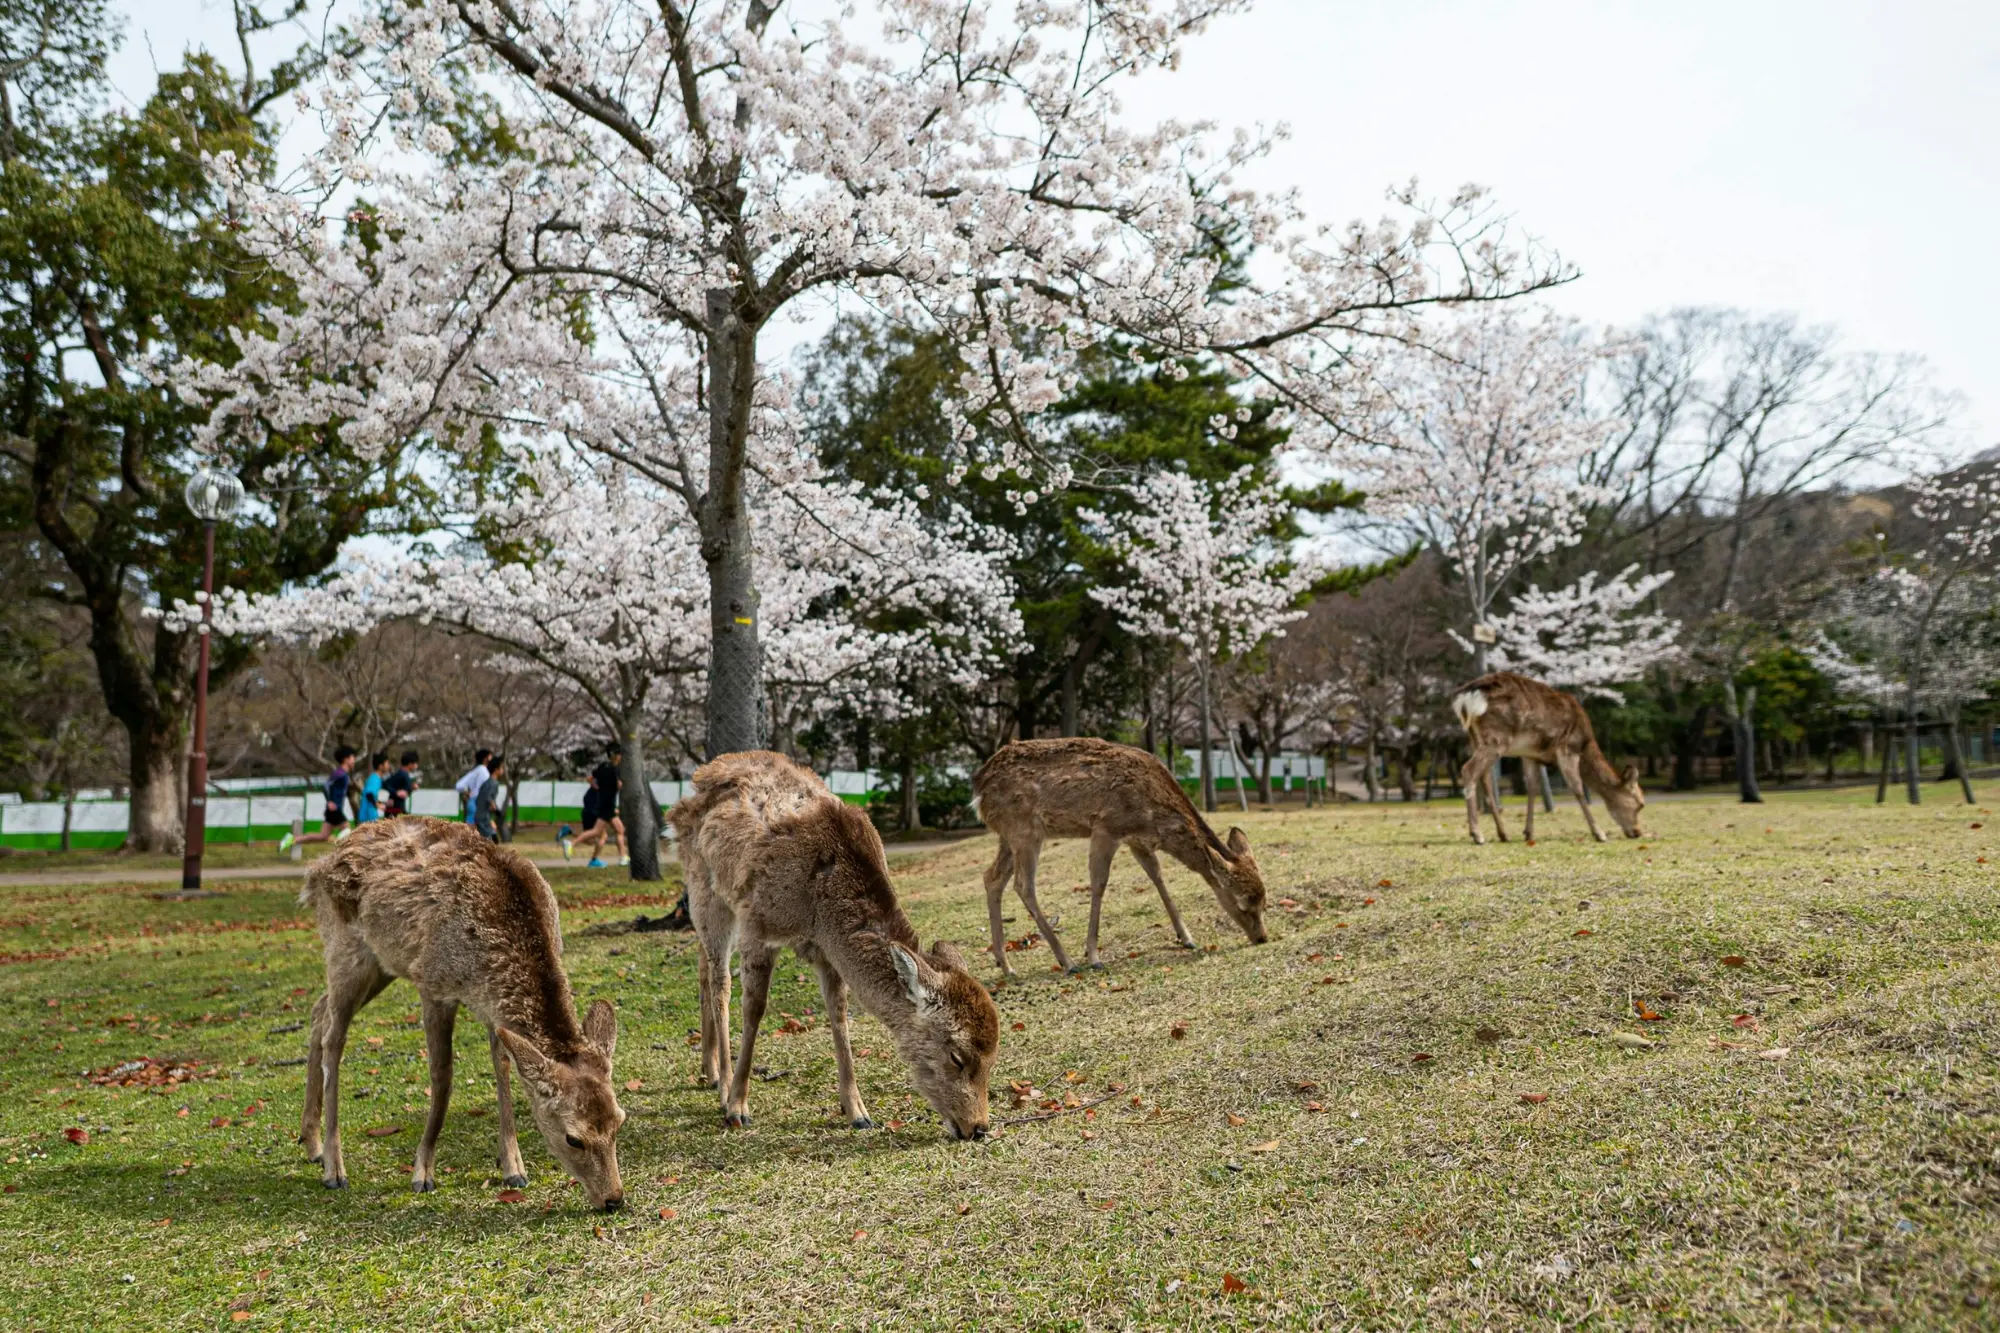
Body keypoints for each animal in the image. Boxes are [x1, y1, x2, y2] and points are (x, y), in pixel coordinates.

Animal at [299, 817, 628, 1210]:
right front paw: (422, 1172)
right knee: (334, 1037)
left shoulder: (492, 1008)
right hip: (345, 949)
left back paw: (312, 1144)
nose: (614, 1199)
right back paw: (334, 1167)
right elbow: (442, 1078)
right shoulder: (433, 985)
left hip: (381, 963)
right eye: (573, 1138)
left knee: (319, 1011)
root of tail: (316, 869)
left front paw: (513, 1166)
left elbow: (502, 1066)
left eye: (619, 1122)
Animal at [670, 750, 1000, 1141]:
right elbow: (754, 1010)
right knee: (720, 980)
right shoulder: (757, 926)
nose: (978, 1127)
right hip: (705, 889)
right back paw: (722, 1086)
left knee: (703, 964)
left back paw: (709, 1071)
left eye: (993, 1056)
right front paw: (738, 1107)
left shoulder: (826, 951)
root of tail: (698, 780)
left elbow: (838, 1012)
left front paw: (857, 1111)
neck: (819, 909)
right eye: (957, 1057)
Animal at [970, 737, 1269, 978]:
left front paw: (1186, 937)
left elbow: (1157, 875)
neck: (1154, 815)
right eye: (1243, 904)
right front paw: (1093, 956)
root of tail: (978, 789)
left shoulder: (1137, 840)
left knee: (991, 877)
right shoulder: (1107, 827)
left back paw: (1006, 965)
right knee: (1023, 885)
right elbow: (1099, 883)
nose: (1262, 938)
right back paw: (1067, 961)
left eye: (1264, 902)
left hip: (1008, 836)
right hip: (1025, 829)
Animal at [1451, 671, 1647, 845]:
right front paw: (1599, 833)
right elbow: (1577, 788)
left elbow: (1532, 787)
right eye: (1640, 804)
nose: (1638, 832)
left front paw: (1528, 833)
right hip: (1497, 738)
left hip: (1477, 738)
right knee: (1468, 770)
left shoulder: (1530, 754)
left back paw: (1503, 834)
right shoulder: (1568, 748)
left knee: (1484, 778)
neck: (1585, 744)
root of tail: (1466, 697)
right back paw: (1477, 835)